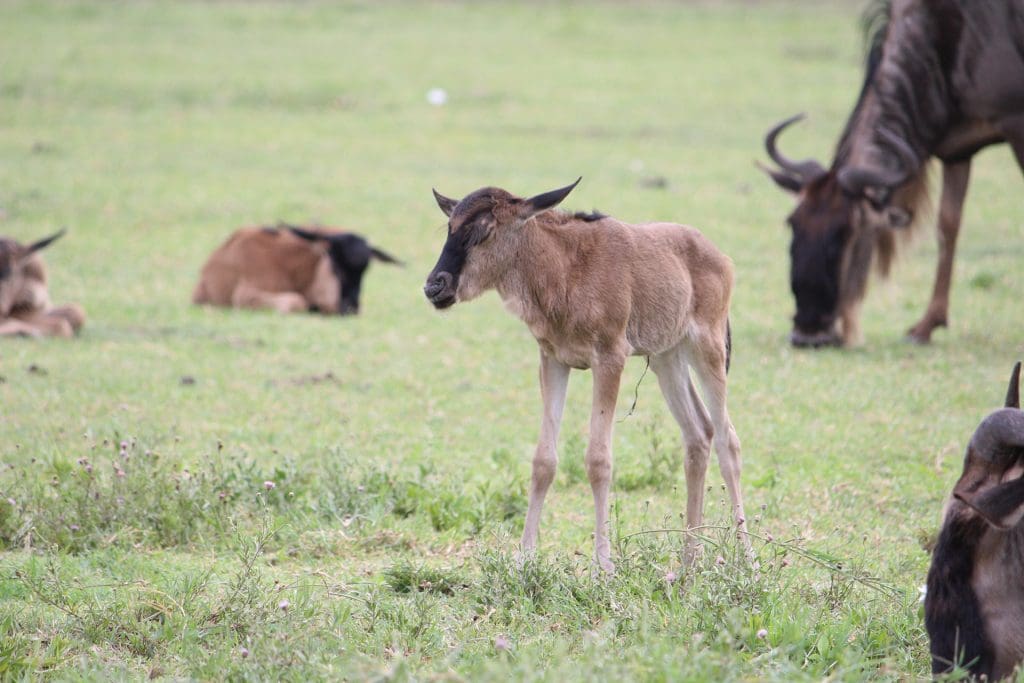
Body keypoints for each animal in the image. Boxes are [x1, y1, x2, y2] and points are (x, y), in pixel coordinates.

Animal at [423, 179, 749, 572]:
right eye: (451, 226)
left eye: (483, 231)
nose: (435, 287)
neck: (565, 269)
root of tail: (720, 257)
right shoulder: (553, 361)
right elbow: (544, 461)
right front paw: (524, 560)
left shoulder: (610, 359)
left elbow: (598, 460)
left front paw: (603, 566)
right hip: (666, 359)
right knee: (699, 435)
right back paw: (688, 562)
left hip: (708, 349)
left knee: (728, 441)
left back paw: (749, 560)